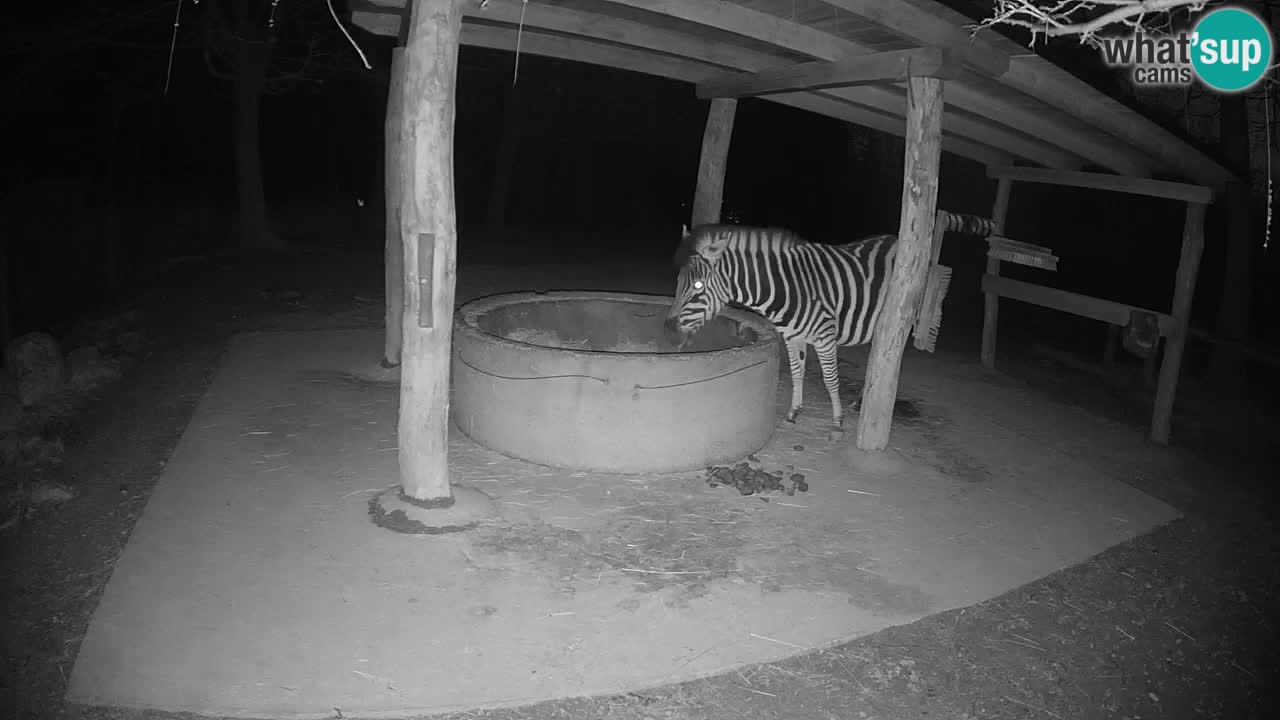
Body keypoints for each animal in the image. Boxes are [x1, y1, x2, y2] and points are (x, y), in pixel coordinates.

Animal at [665, 212, 997, 430]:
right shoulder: (792, 336)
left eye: (697, 286)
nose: (667, 330)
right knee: (878, 359)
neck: (785, 288)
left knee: (891, 360)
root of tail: (900, 240)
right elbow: (797, 373)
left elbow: (829, 378)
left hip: (903, 320)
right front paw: (794, 411)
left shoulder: (824, 336)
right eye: (678, 282)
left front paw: (837, 421)